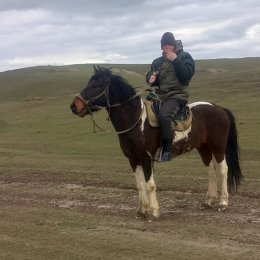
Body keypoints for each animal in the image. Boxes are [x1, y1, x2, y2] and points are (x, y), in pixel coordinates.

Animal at [70, 66, 243, 220]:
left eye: (96, 85)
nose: (74, 106)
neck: (136, 120)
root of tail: (220, 109)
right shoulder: (133, 159)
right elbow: (140, 184)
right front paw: (141, 211)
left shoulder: (146, 159)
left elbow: (150, 185)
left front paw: (153, 212)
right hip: (204, 147)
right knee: (211, 171)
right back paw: (208, 201)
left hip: (218, 146)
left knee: (222, 169)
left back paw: (223, 203)